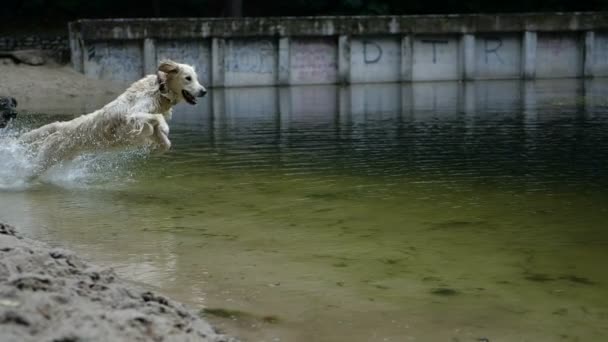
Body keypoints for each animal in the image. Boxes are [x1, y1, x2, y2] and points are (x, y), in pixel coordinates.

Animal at [19, 59, 207, 176]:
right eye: (188, 78)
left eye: (196, 78)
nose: (204, 91)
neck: (160, 90)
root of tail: (61, 126)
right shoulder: (134, 114)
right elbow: (157, 118)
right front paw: (165, 129)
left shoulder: (149, 128)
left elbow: (165, 141)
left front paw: (158, 148)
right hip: (43, 161)